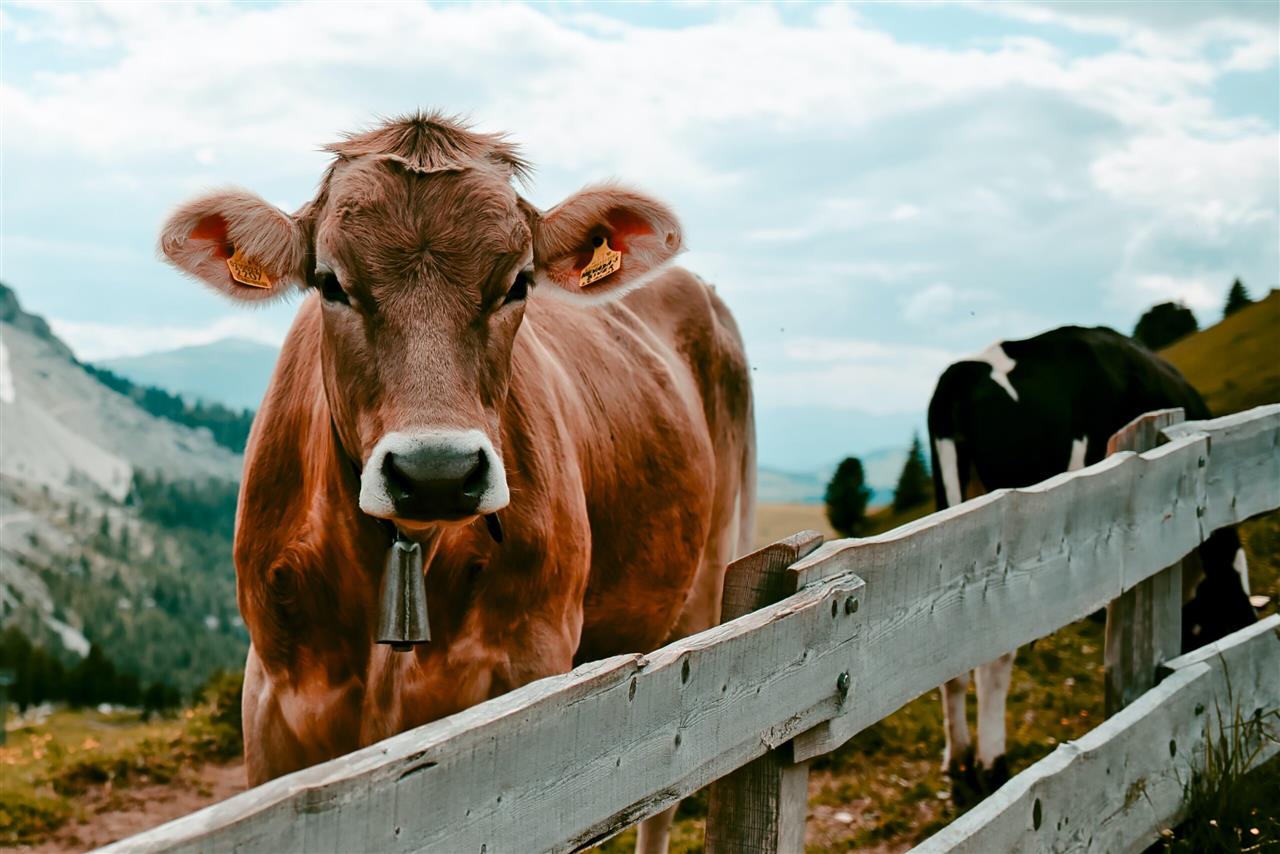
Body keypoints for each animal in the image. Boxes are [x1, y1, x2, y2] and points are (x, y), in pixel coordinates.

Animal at [157, 113, 755, 853]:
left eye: (519, 282)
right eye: (330, 282)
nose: (436, 472)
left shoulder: (536, 676)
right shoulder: (272, 706)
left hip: (701, 593)